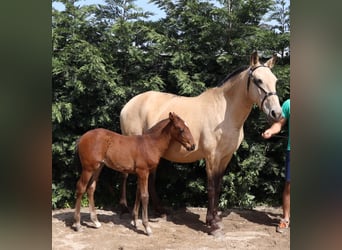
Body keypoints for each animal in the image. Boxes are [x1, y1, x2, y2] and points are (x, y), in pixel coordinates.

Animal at [119, 51, 282, 235]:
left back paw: (160, 210)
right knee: (125, 176)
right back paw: (124, 209)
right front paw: (212, 223)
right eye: (258, 80)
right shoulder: (211, 156)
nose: (276, 113)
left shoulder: (225, 157)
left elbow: (218, 185)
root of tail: (128, 105)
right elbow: (211, 187)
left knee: (151, 180)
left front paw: (215, 218)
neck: (224, 113)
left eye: (275, 80)